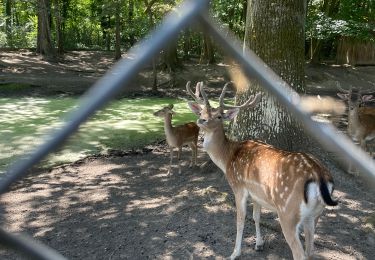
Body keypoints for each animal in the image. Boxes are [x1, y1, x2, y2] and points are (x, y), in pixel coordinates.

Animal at [188, 82, 338, 260]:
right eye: (202, 112)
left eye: (219, 116)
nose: (201, 120)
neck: (228, 158)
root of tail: (319, 175)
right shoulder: (256, 194)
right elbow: (256, 216)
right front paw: (259, 244)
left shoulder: (239, 187)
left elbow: (240, 220)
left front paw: (234, 253)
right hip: (315, 214)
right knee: (310, 250)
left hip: (288, 212)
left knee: (299, 253)